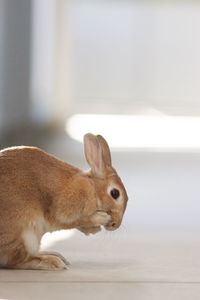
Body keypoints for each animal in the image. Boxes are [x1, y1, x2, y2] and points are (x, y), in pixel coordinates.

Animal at [0, 133, 128, 270]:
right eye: (115, 193)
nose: (115, 225)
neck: (92, 188)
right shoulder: (65, 210)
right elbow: (79, 220)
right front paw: (101, 219)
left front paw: (93, 229)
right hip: (24, 233)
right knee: (15, 260)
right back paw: (53, 262)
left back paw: (56, 255)